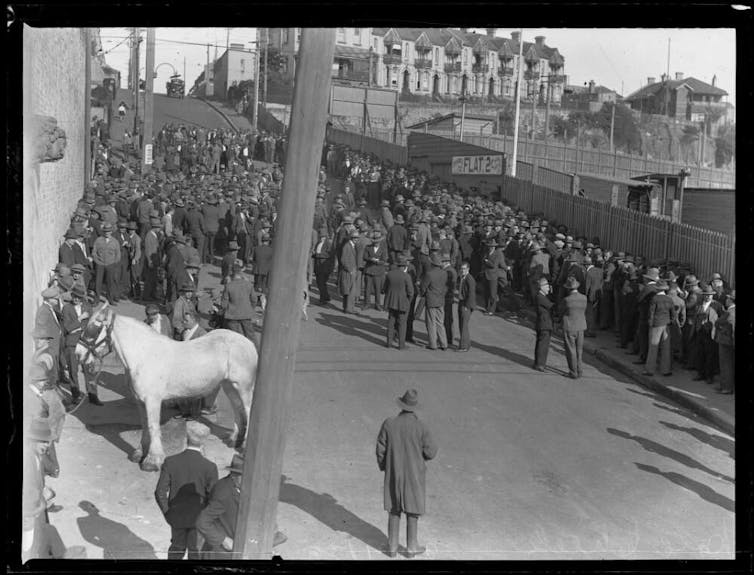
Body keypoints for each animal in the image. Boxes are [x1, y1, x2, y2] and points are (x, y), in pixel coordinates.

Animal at [76, 304, 258, 470]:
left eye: (94, 327)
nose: (78, 354)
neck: (143, 355)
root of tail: (248, 343)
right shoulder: (140, 401)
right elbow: (145, 425)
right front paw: (140, 453)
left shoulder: (152, 401)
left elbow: (153, 426)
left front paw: (152, 461)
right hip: (229, 385)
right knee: (237, 409)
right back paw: (233, 439)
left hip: (243, 387)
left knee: (248, 410)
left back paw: (243, 447)